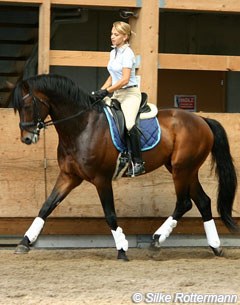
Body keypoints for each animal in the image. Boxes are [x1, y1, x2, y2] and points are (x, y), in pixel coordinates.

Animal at [12, 73, 238, 258]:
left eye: (27, 106)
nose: (26, 138)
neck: (82, 126)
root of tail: (202, 119)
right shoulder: (69, 176)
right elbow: (46, 206)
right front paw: (25, 242)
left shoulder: (101, 179)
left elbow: (110, 214)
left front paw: (121, 248)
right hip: (184, 169)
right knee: (203, 201)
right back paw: (215, 246)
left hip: (182, 169)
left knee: (184, 203)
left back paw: (157, 240)